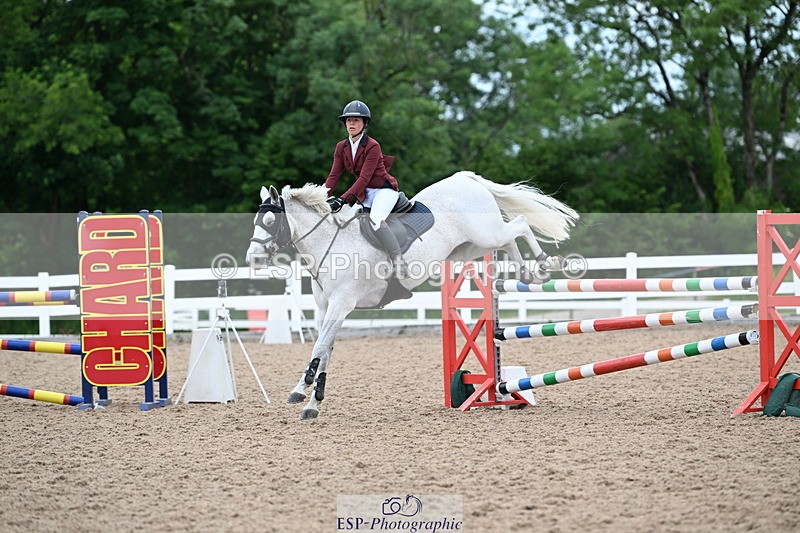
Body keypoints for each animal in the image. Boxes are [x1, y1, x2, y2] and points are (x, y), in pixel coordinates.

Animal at [245, 170, 578, 419]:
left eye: (270, 223)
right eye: (255, 222)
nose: (253, 259)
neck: (330, 244)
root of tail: (466, 178)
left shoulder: (341, 305)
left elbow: (319, 347)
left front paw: (304, 395)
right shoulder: (327, 308)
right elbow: (325, 349)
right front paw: (310, 399)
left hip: (486, 234)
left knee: (519, 225)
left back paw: (544, 264)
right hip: (473, 246)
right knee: (509, 240)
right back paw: (530, 274)